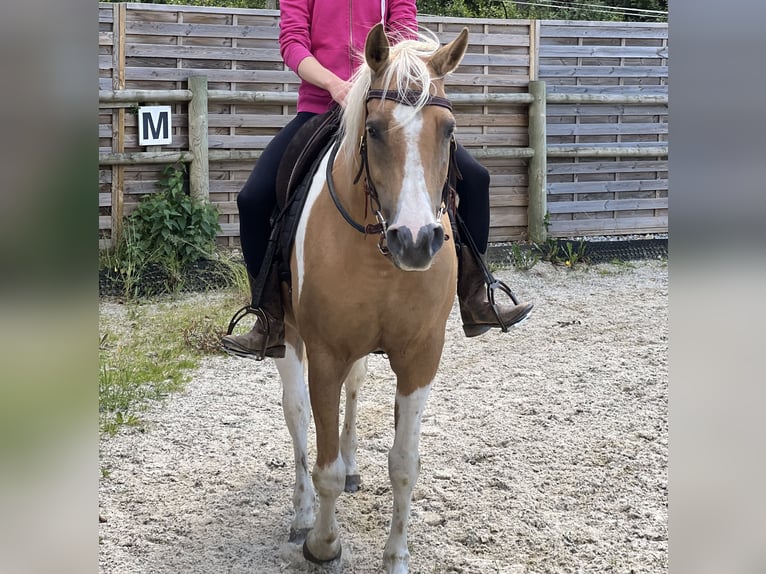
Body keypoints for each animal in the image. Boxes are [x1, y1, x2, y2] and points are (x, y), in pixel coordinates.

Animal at [273, 24, 469, 573]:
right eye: (376, 130)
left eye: (448, 131)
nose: (417, 240)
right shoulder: (324, 355)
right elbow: (324, 467)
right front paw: (324, 544)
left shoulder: (421, 356)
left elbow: (404, 465)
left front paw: (396, 557)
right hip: (288, 337)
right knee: (296, 415)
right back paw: (301, 515)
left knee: (355, 393)